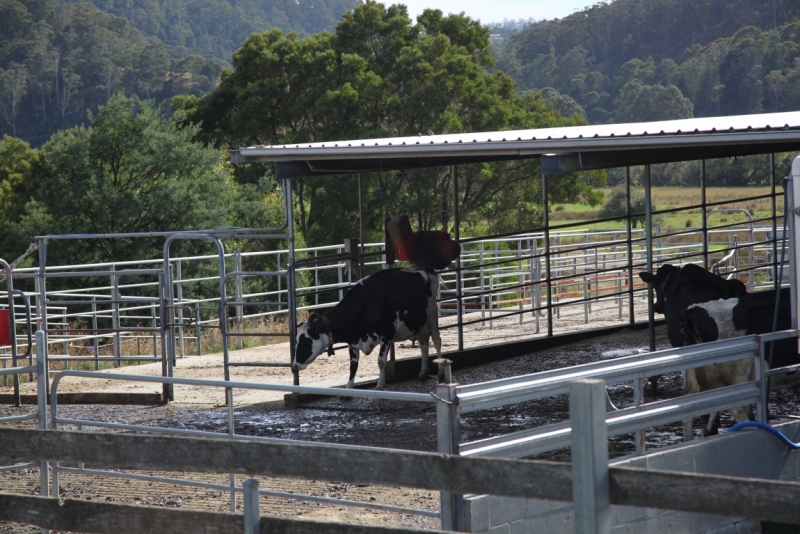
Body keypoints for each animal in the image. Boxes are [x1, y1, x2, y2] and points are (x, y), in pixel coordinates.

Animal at [294, 268, 444, 390]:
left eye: (304, 343)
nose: (294, 366)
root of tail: (426, 270)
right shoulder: (353, 341)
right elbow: (353, 366)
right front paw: (348, 389)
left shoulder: (387, 334)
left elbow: (381, 361)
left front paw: (380, 384)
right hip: (420, 324)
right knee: (423, 342)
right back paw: (423, 372)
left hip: (432, 313)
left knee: (437, 340)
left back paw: (441, 371)